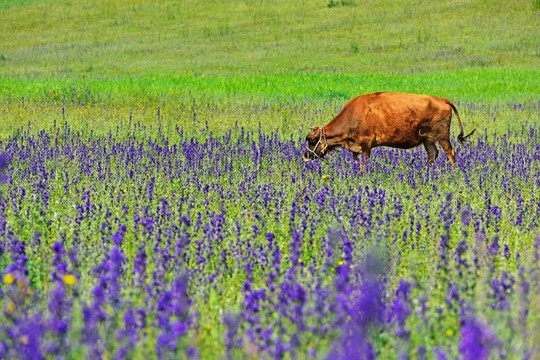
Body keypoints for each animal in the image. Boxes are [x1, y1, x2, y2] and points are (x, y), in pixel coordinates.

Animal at [302, 92, 474, 167]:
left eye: (312, 140)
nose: (305, 157)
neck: (352, 114)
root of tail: (441, 99)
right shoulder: (355, 146)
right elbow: (356, 160)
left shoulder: (366, 144)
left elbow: (364, 162)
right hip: (427, 140)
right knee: (433, 154)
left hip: (442, 137)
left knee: (450, 153)